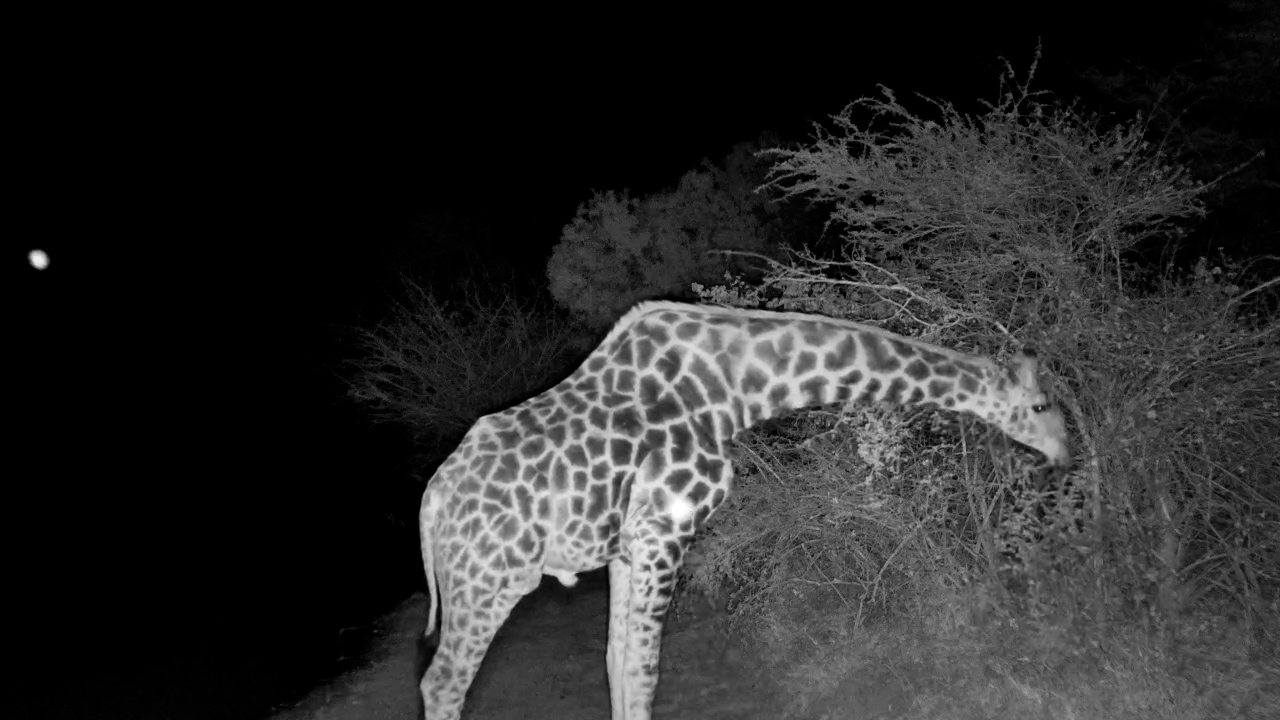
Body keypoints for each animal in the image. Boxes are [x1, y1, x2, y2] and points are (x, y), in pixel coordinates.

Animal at [418, 301, 1070, 720]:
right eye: (1040, 404)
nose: (1066, 452)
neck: (737, 389)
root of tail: (431, 503)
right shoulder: (665, 532)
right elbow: (646, 673)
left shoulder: (628, 549)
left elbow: (618, 665)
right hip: (491, 580)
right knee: (441, 684)